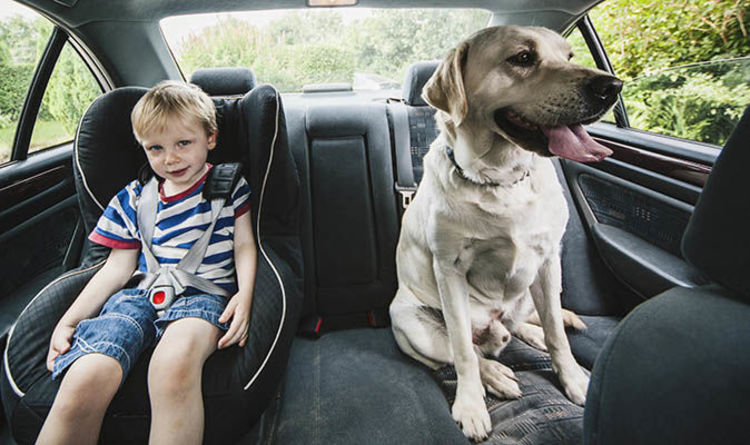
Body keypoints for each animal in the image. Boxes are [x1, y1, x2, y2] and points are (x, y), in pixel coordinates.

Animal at [394, 26, 624, 438]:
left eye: (568, 56)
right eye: (522, 58)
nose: (611, 86)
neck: (501, 180)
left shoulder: (548, 262)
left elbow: (557, 335)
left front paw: (575, 381)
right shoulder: (449, 269)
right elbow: (462, 353)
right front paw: (471, 405)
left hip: (529, 292)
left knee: (526, 325)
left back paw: (534, 334)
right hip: (410, 324)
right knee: (463, 351)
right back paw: (497, 374)